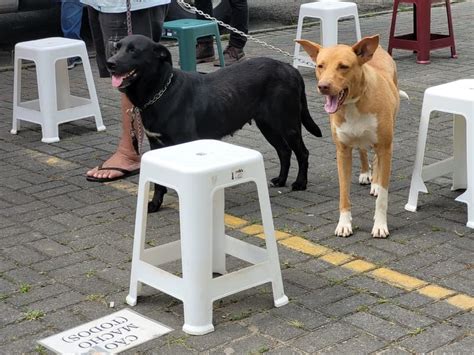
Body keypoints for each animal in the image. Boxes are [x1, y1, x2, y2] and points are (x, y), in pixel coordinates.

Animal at [107, 34, 322, 213]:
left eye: (133, 50)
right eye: (116, 48)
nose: (110, 63)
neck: (160, 93)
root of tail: (290, 68)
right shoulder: (156, 145)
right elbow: (159, 183)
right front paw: (154, 204)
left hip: (288, 124)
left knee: (302, 153)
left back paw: (300, 183)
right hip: (268, 125)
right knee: (284, 151)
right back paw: (281, 180)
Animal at [298, 35, 402, 239]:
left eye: (343, 66)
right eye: (320, 66)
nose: (323, 86)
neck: (354, 104)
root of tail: (377, 50)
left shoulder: (386, 148)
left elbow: (383, 197)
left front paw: (380, 225)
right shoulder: (342, 152)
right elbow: (344, 193)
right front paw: (344, 224)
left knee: (376, 159)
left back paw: (375, 183)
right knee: (362, 150)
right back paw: (365, 173)